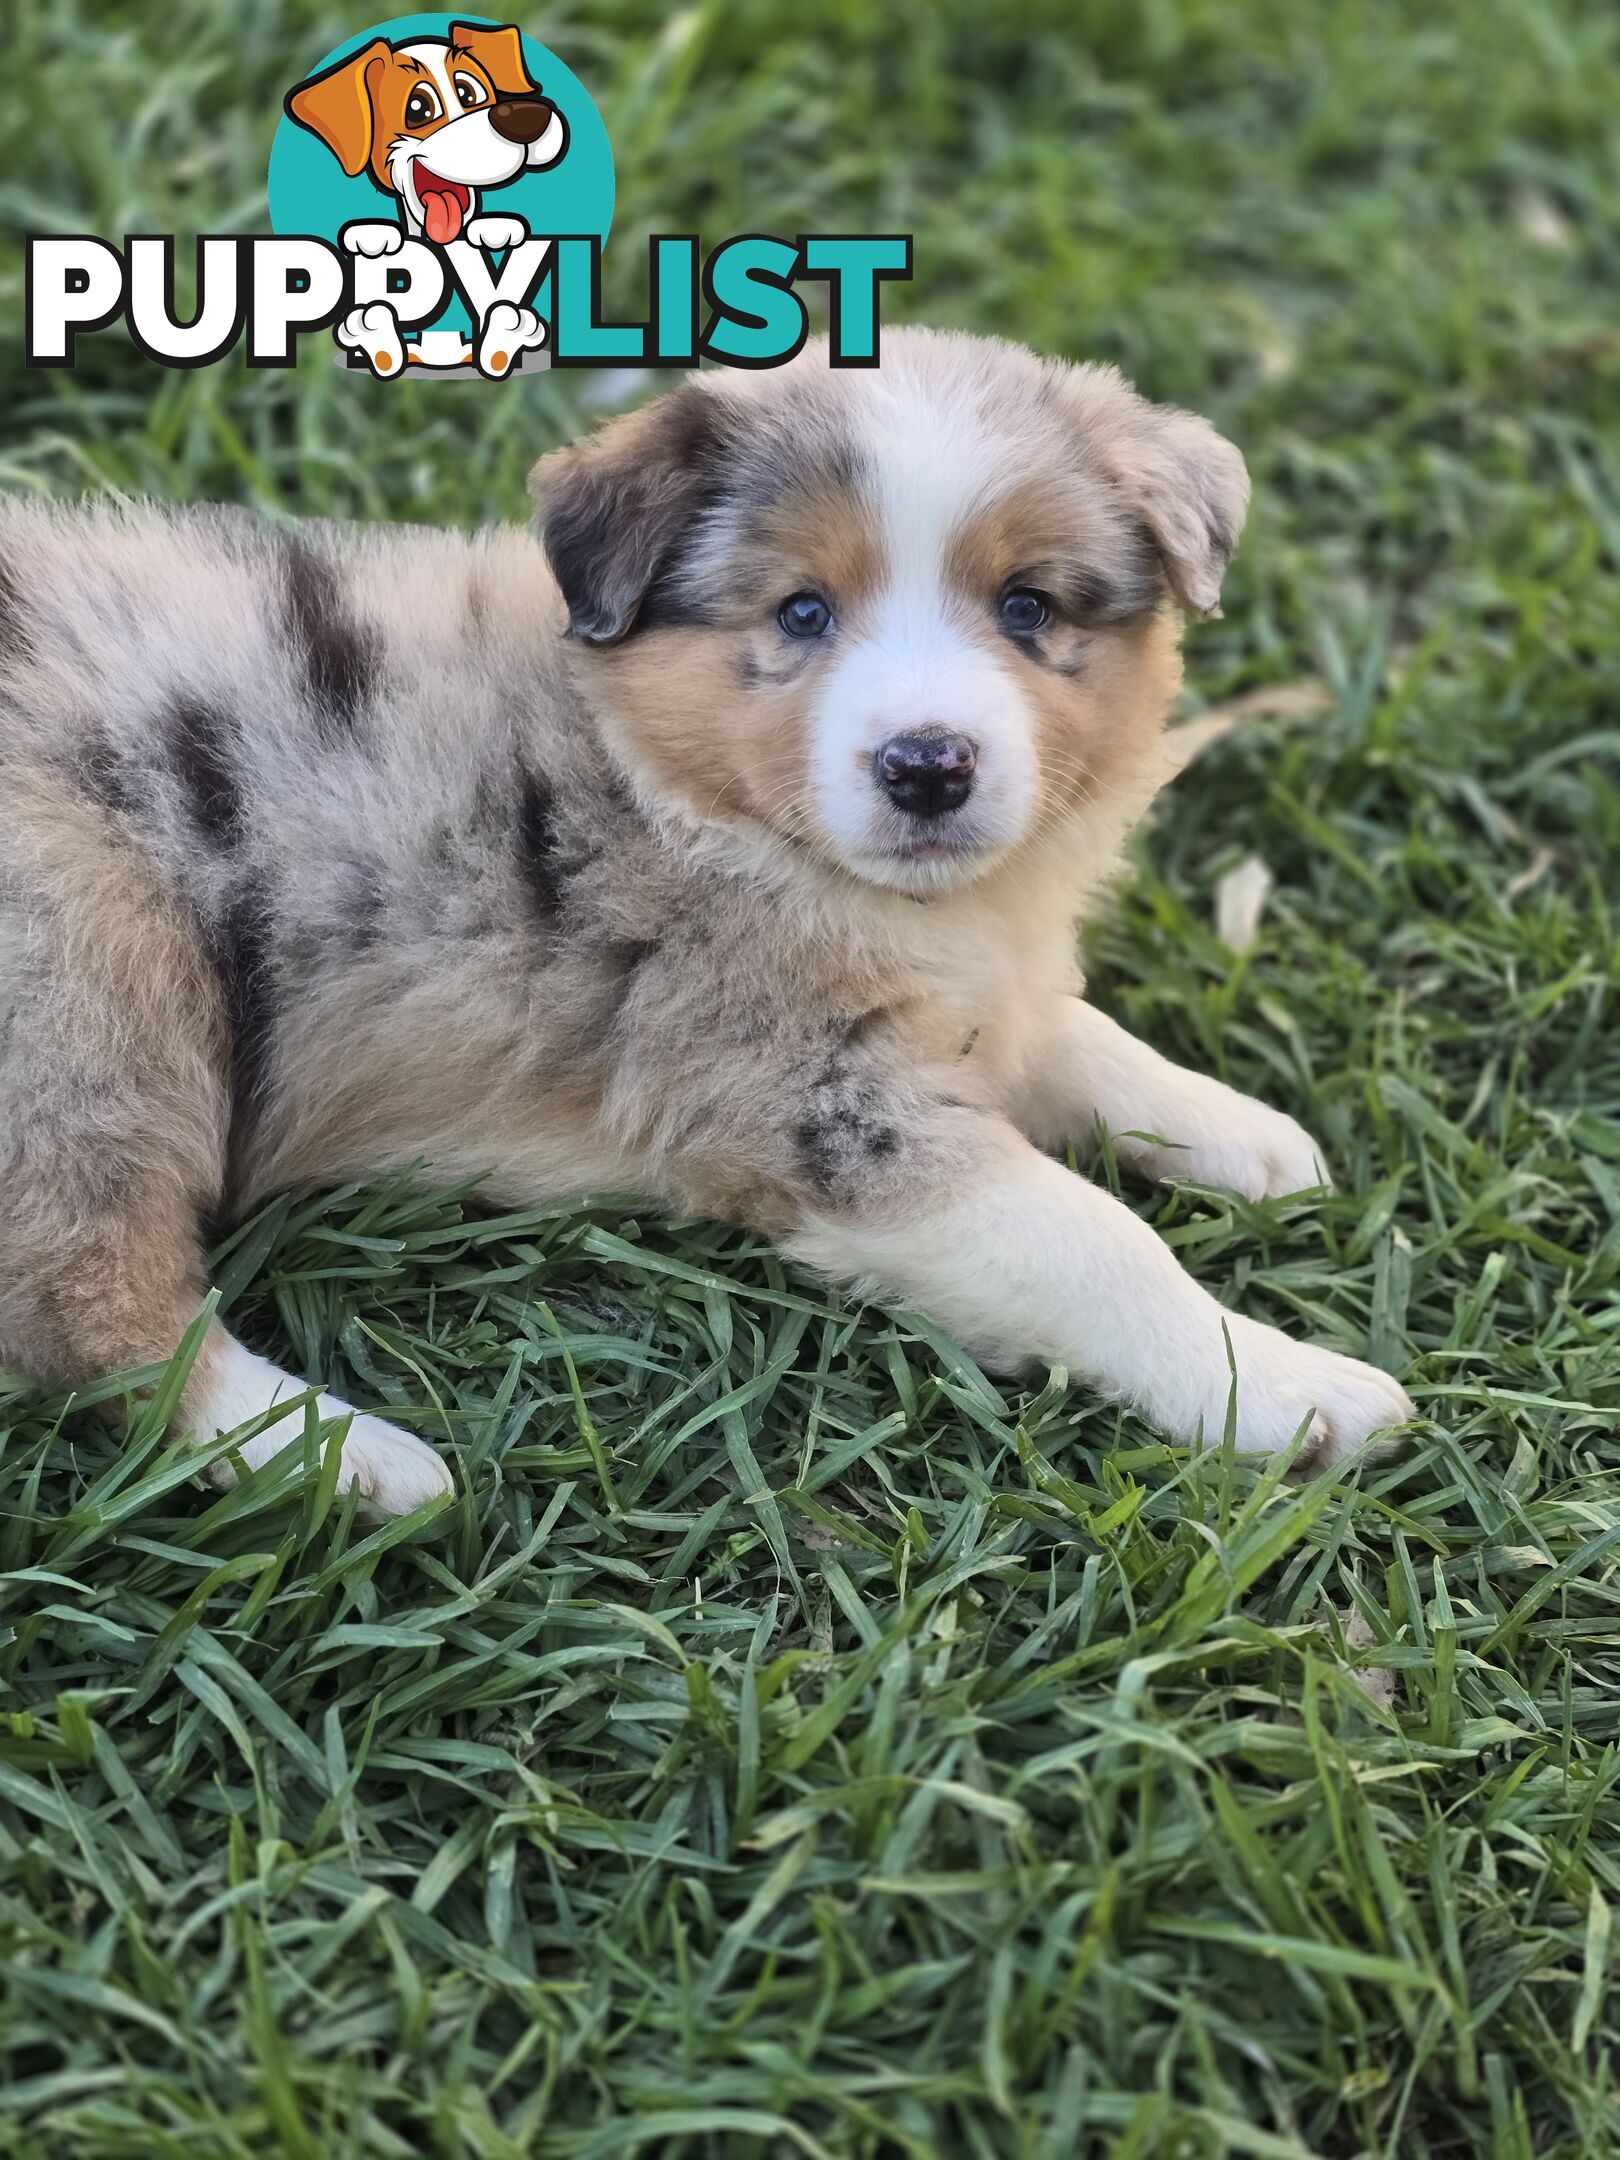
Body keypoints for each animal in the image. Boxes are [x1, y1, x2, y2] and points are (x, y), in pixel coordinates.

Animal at [0, 336, 1416, 1520]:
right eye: (801, 613)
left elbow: (1073, 1032)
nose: (928, 766)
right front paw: (1287, 1389)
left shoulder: (961, 998)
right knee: (84, 1305)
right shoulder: (814, 1104)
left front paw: (1248, 1135)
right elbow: (1095, 1242)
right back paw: (352, 1461)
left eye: (1028, 607)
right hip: (95, 973)